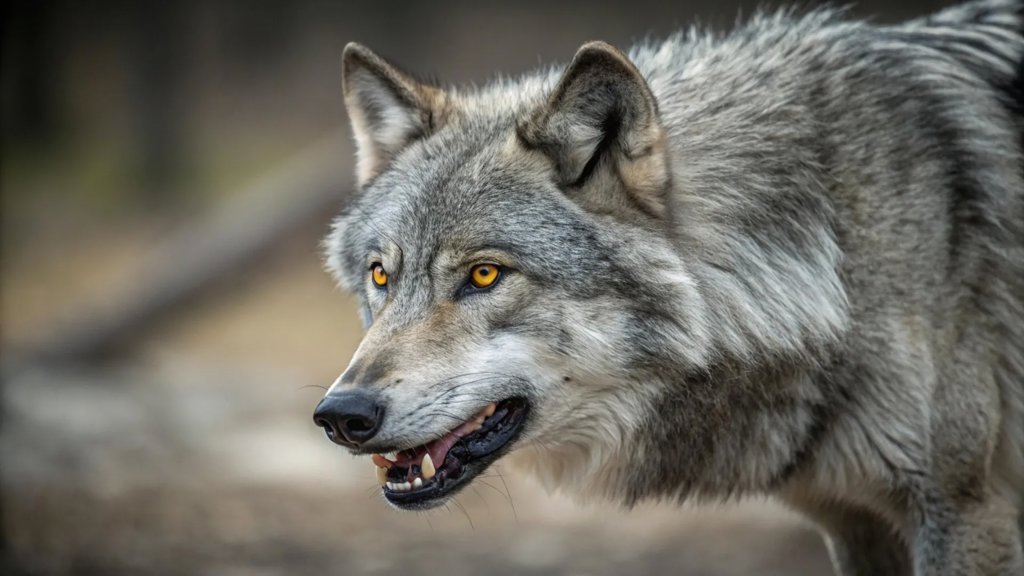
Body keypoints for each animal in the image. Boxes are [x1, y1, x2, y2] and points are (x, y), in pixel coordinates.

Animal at [312, 1, 1024, 574]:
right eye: (381, 274)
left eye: (484, 274)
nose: (342, 415)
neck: (835, 252)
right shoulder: (854, 522)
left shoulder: (964, 509)